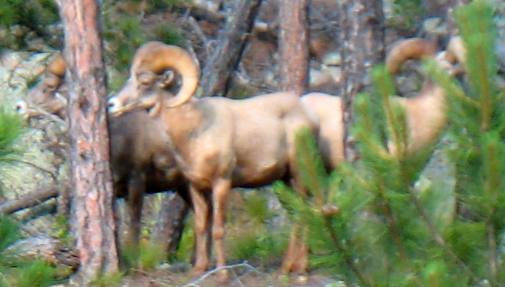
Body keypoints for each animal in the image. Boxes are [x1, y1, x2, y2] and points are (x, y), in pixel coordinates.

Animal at [108, 42, 316, 280]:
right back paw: (297, 267)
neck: (195, 130)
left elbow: (217, 228)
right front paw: (199, 269)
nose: (112, 104)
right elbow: (200, 226)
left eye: (144, 81)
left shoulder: (221, 184)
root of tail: (306, 115)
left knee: (302, 214)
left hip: (298, 176)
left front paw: (222, 274)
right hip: (284, 181)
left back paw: (289, 269)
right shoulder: (196, 187)